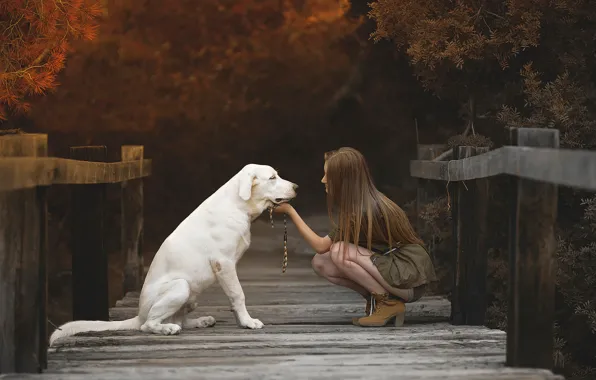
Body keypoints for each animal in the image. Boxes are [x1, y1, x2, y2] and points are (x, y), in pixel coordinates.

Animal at [50, 163, 296, 344]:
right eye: (272, 178)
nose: (296, 186)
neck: (237, 206)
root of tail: (138, 315)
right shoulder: (224, 263)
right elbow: (238, 294)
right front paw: (247, 322)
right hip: (180, 287)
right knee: (149, 324)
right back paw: (167, 328)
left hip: (190, 297)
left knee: (179, 320)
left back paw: (199, 321)